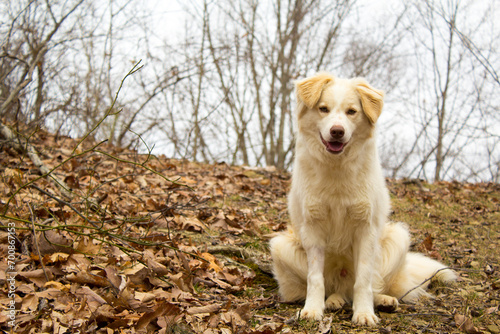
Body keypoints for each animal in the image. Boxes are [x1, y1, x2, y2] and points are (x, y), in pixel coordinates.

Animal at [270, 73, 458, 326]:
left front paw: (364, 313)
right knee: (332, 289)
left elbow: (364, 279)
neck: (336, 169)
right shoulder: (313, 228)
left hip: (398, 236)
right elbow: (315, 278)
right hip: (279, 245)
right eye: (323, 109)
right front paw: (312, 310)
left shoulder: (366, 229)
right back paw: (333, 301)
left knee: (372, 284)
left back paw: (383, 301)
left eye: (351, 111)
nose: (337, 131)